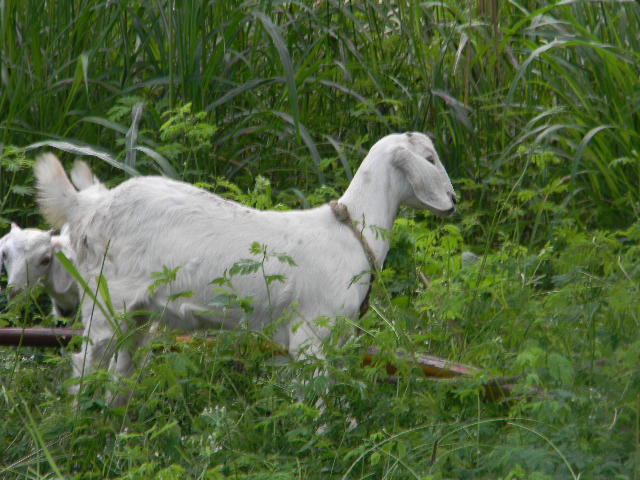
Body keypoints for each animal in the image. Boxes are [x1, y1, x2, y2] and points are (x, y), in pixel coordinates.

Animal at [35, 131, 458, 390]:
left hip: (136, 311)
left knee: (122, 369)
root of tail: (89, 205)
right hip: (106, 301)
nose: (454, 201)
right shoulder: (309, 333)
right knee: (86, 365)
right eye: (430, 158)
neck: (351, 235)